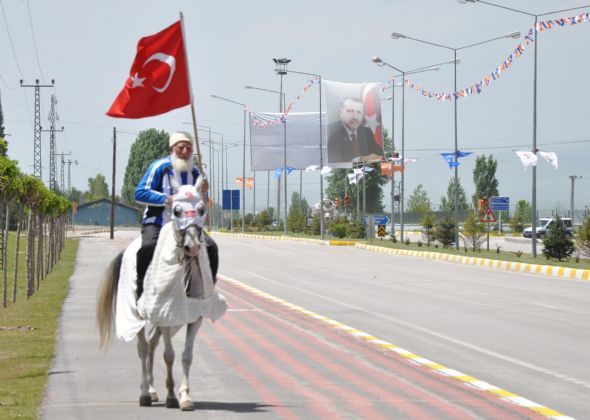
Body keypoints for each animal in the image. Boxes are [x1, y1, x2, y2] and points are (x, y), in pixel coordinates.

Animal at [97, 181, 227, 410]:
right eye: (176, 210)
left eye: (202, 209)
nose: (193, 246)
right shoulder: (167, 316)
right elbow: (169, 355)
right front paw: (172, 396)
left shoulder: (192, 317)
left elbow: (186, 356)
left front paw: (185, 397)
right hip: (139, 316)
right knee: (143, 347)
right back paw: (145, 393)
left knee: (151, 343)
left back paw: (152, 389)